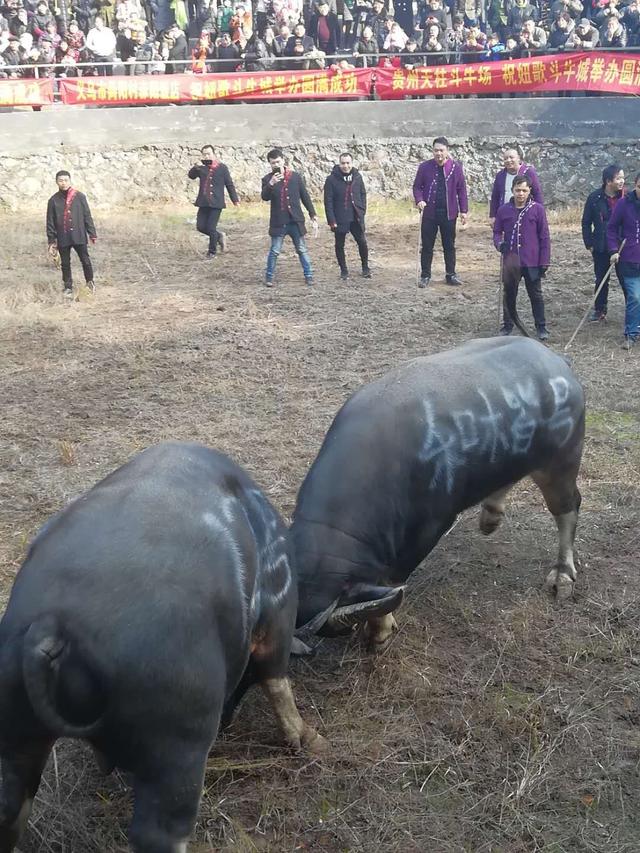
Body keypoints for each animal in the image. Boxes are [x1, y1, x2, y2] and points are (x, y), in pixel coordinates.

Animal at [0, 442, 324, 848]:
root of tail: (50, 623)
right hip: (178, 745)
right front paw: (313, 741)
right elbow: (277, 680)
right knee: (158, 831)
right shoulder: (278, 616)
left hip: (15, 728)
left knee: (11, 804)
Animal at [294, 336, 584, 644]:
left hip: (561, 463)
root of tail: (558, 362)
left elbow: (393, 578)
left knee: (568, 507)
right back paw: (491, 516)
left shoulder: (432, 525)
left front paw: (379, 630)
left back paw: (562, 574)